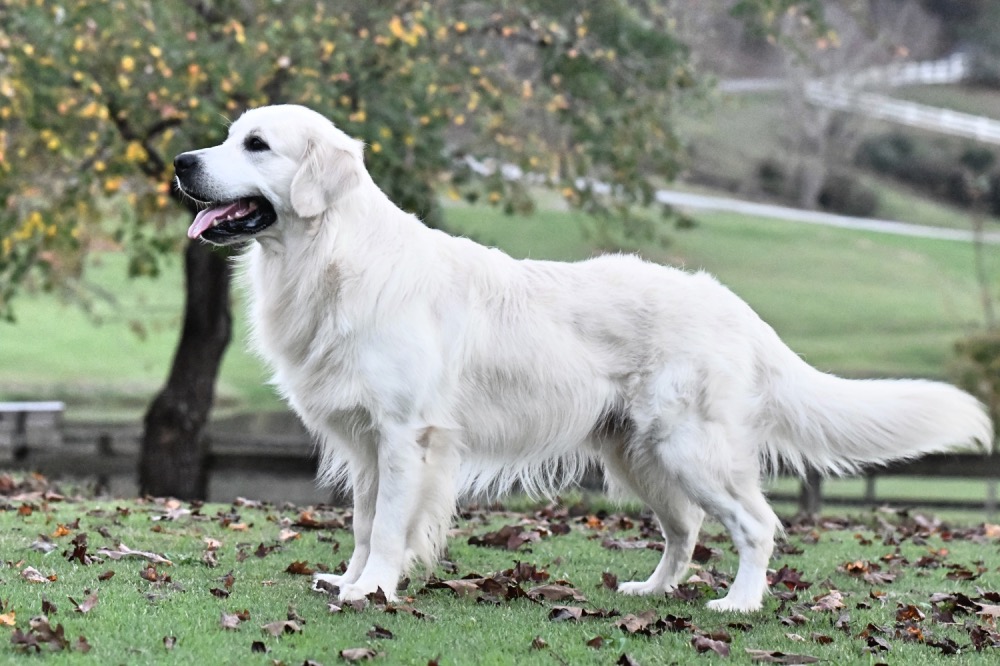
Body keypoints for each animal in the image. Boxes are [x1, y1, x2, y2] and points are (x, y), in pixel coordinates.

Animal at [174, 105, 992, 612]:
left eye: (256, 145)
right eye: (228, 135)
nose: (181, 162)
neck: (334, 255)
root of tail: (732, 304)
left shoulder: (408, 436)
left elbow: (388, 526)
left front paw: (373, 589)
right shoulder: (369, 444)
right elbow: (365, 520)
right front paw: (346, 583)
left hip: (690, 447)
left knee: (755, 524)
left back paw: (739, 602)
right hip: (636, 455)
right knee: (685, 528)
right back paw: (653, 592)